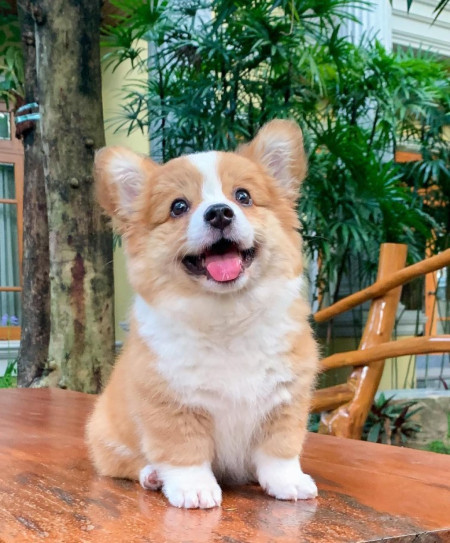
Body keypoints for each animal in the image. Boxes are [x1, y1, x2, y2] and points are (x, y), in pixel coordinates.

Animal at [87, 119, 320, 510]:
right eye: (179, 206)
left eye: (243, 196)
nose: (220, 212)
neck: (226, 316)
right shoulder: (171, 403)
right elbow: (184, 452)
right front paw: (194, 488)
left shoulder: (284, 400)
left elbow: (280, 450)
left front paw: (288, 482)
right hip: (104, 434)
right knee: (124, 463)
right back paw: (151, 475)